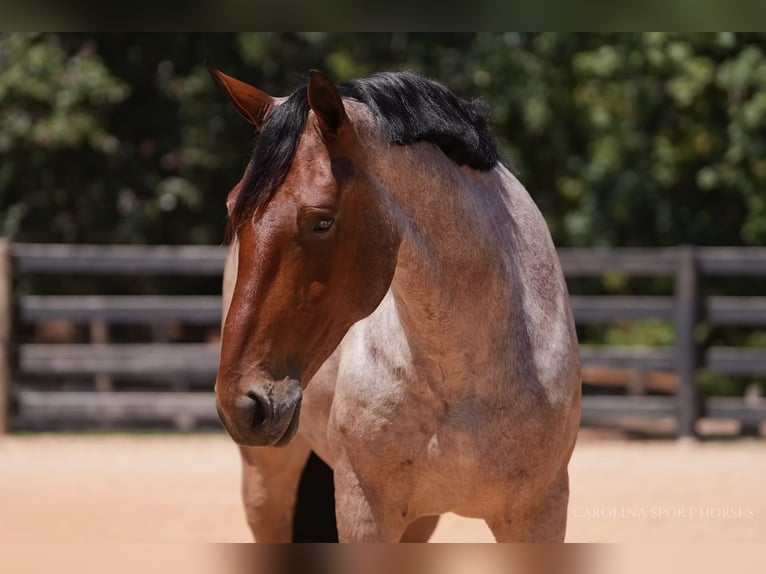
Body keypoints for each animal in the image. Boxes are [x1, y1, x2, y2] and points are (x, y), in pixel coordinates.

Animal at [210, 66, 582, 542]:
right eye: (232, 207)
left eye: (322, 221)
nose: (241, 403)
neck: (461, 382)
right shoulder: (364, 513)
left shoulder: (540, 516)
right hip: (266, 483)